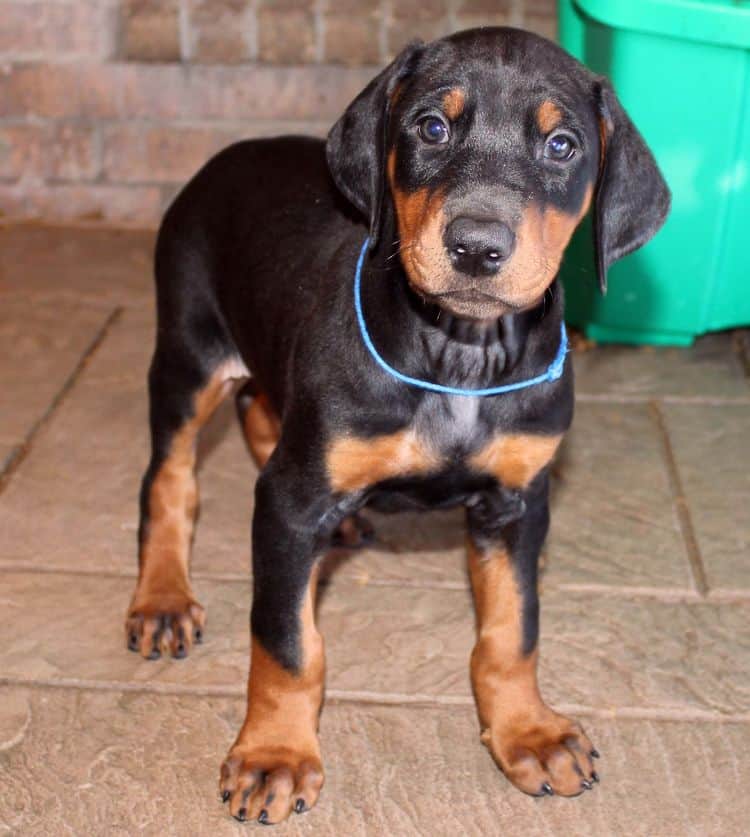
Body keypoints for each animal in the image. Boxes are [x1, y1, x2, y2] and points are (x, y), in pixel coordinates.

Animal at [123, 26, 668, 824]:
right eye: (431, 127)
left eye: (562, 145)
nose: (476, 246)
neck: (460, 357)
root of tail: (226, 155)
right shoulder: (290, 501)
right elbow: (287, 641)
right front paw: (274, 754)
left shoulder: (518, 502)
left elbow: (514, 629)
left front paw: (529, 732)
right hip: (188, 352)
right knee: (169, 476)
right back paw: (163, 598)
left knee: (262, 411)